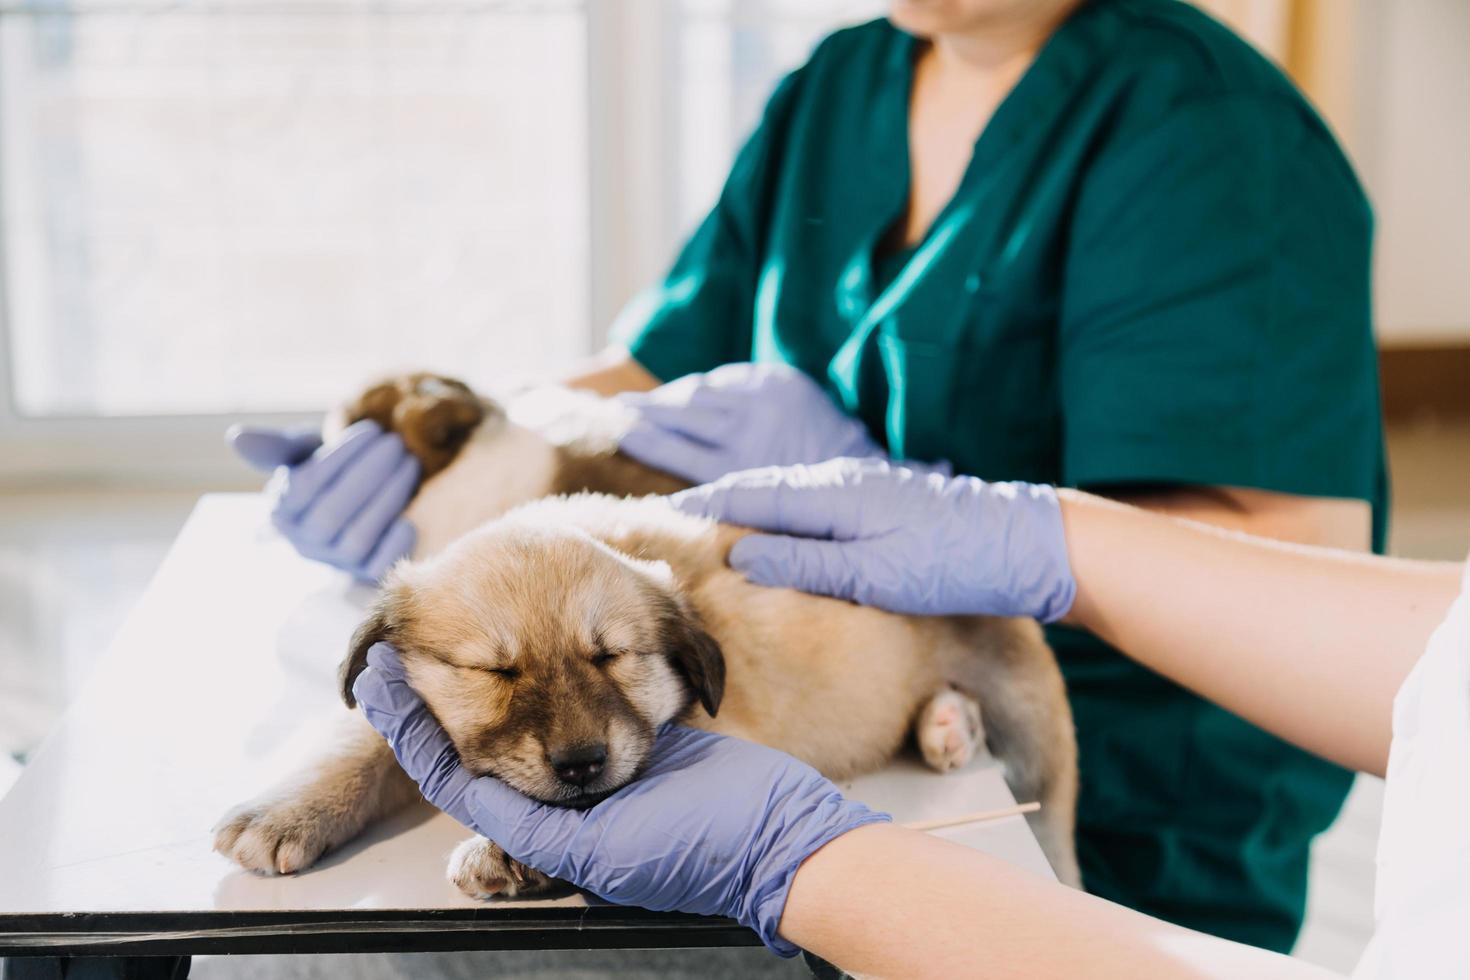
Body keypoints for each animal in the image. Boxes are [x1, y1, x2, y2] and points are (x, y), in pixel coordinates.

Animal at [214, 371, 1081, 893]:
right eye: (495, 672)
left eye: (611, 657)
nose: (580, 764)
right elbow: (362, 746)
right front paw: (287, 812)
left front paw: (511, 850)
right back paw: (944, 727)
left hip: (1037, 726)